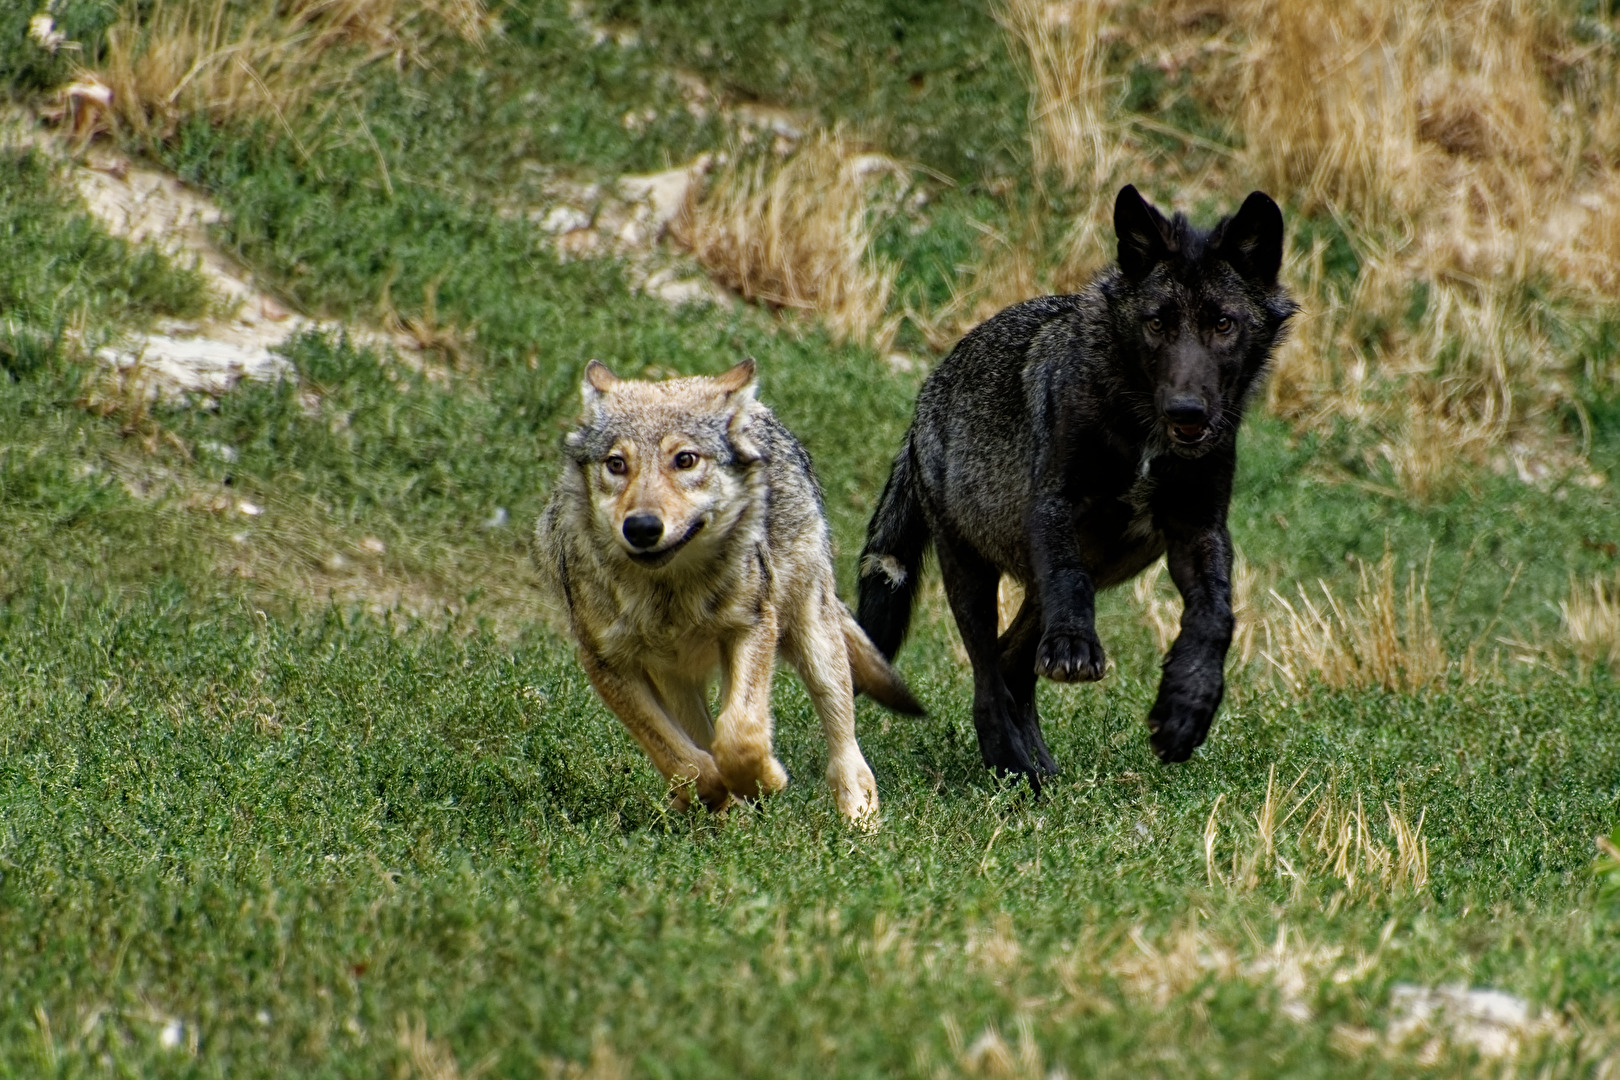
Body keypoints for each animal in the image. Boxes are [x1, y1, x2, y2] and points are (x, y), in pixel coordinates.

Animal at [537, 356, 926, 819]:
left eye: (685, 460)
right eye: (616, 464)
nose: (642, 527)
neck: (669, 596)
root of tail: (758, 412)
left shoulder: (752, 626)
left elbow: (739, 735)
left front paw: (765, 779)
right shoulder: (606, 664)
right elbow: (680, 758)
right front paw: (716, 793)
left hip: (813, 638)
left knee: (844, 740)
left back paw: (858, 818)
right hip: (678, 681)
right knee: (699, 738)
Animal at [855, 183, 1296, 777]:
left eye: (1223, 325)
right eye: (1157, 323)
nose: (1186, 411)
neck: (1142, 432)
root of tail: (927, 392)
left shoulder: (1199, 530)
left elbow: (1215, 617)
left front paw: (1188, 706)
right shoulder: (1056, 507)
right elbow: (1070, 584)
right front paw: (1074, 646)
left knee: (1010, 665)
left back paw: (1034, 770)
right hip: (971, 573)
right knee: (987, 675)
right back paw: (1013, 768)